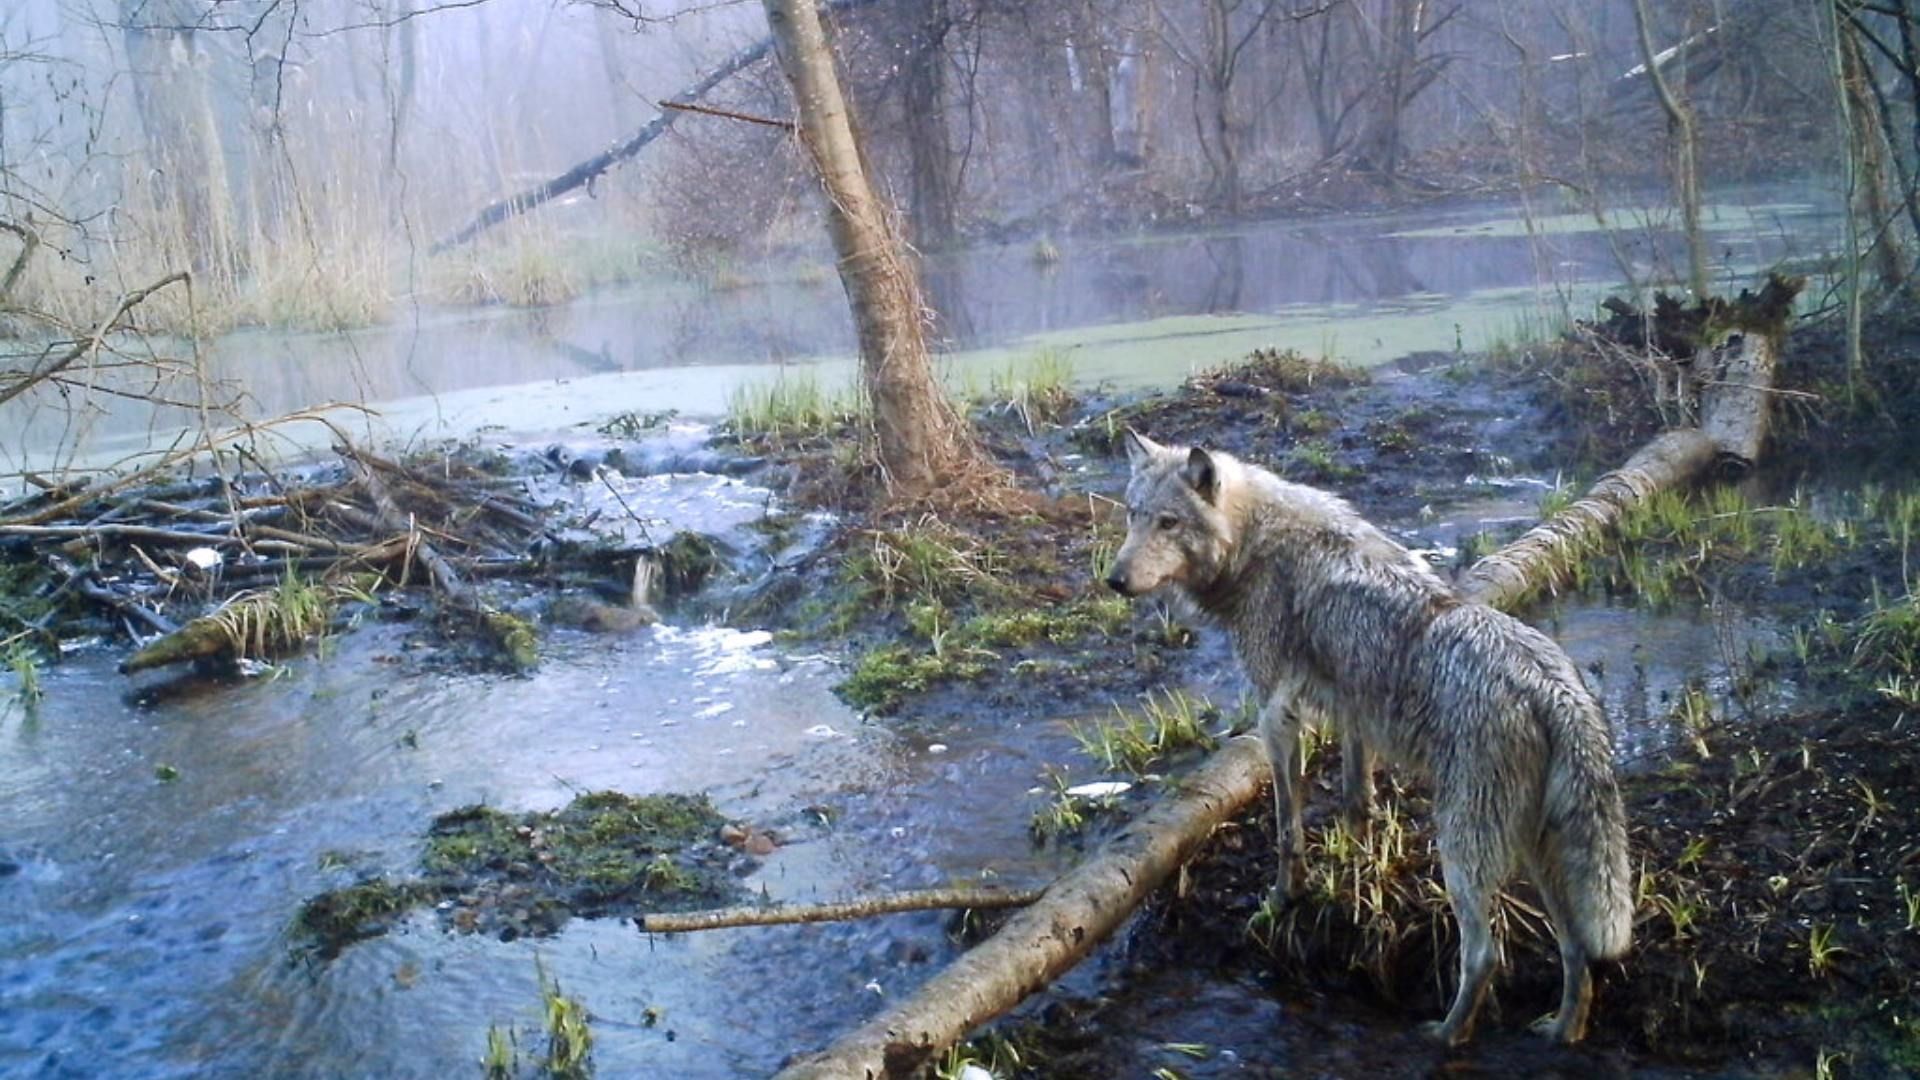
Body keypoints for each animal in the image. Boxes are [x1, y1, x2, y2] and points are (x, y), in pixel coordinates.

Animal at [1105, 430, 1628, 1045]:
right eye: (1133, 516)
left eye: (1168, 523)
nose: (1114, 580)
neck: (1256, 543)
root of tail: (1554, 689)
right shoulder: (1353, 712)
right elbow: (1357, 803)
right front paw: (1353, 877)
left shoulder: (1278, 716)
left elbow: (1287, 829)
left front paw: (1284, 899)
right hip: (1535, 852)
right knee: (1577, 950)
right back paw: (1561, 1031)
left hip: (1465, 854)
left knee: (1484, 956)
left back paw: (1445, 1036)